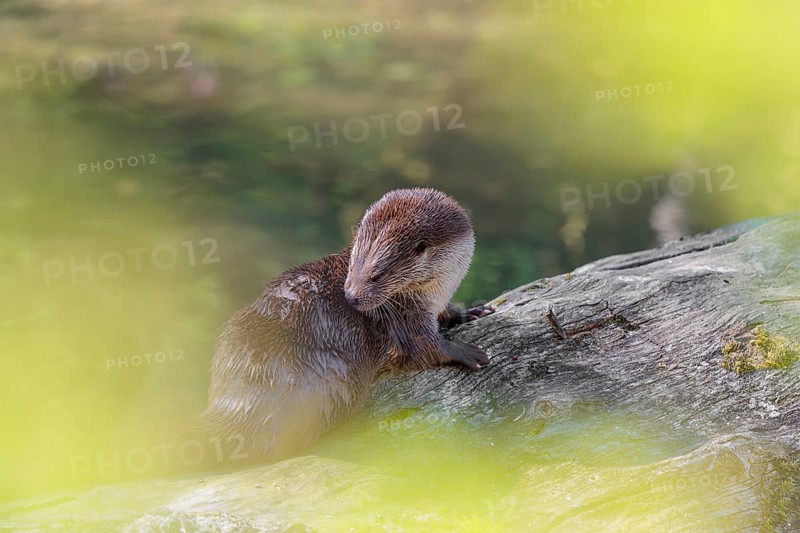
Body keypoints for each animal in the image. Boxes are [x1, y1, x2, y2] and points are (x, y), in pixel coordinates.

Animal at [201, 188, 493, 461]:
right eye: (353, 265)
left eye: (376, 274)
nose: (350, 296)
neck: (436, 292)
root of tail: (235, 398)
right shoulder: (403, 318)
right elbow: (425, 348)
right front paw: (465, 351)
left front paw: (469, 312)